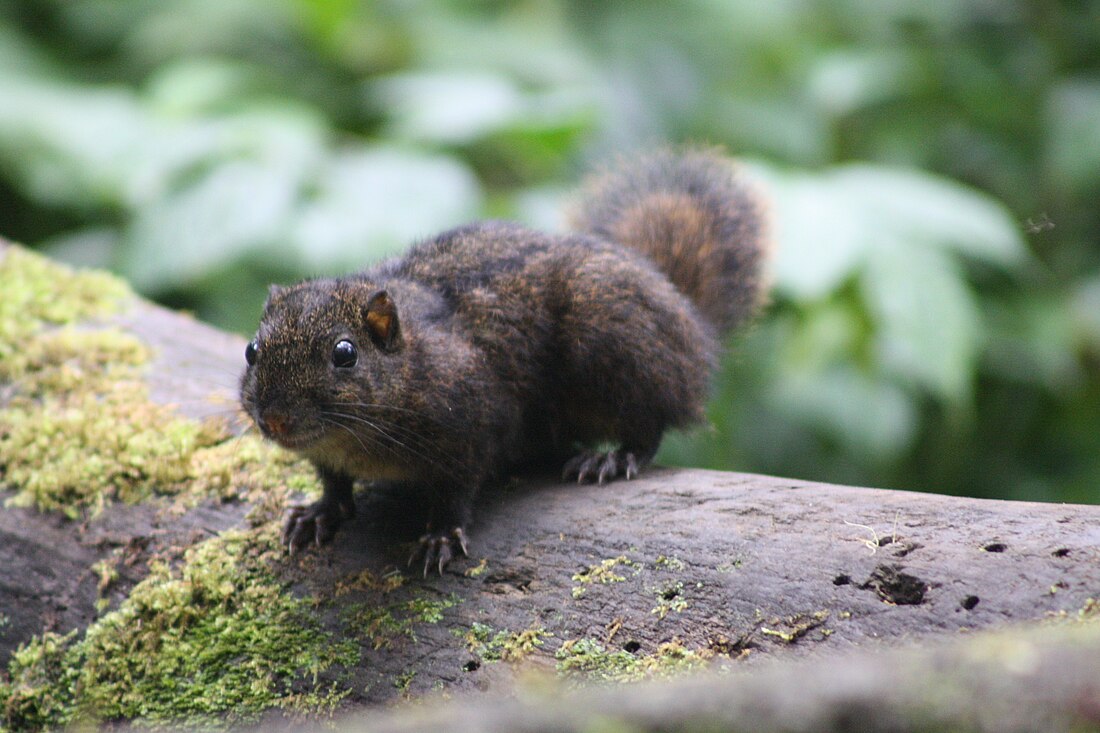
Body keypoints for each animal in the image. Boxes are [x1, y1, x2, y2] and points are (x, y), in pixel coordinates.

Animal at [236, 147, 770, 572]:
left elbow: (456, 488)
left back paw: (612, 459)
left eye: (344, 354)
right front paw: (320, 511)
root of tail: (689, 322)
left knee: (651, 422)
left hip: (617, 346)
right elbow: (332, 481)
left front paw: (440, 536)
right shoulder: (329, 455)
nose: (275, 419)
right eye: (251, 350)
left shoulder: (472, 419)